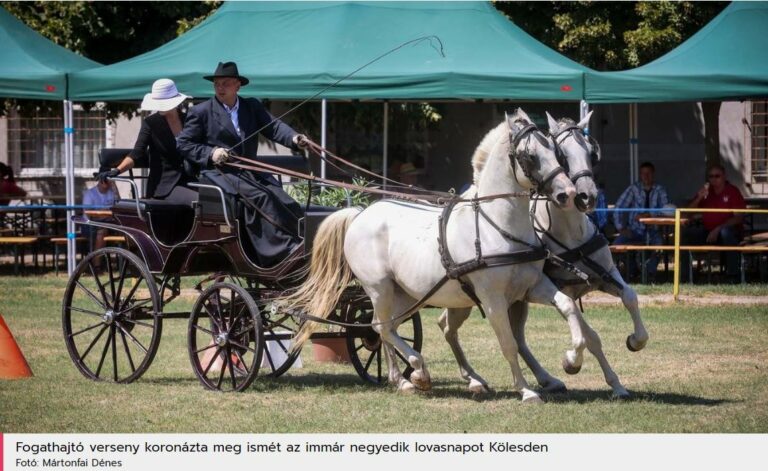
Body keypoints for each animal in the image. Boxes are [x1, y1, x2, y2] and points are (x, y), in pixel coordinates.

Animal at [284, 109, 592, 402]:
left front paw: (571, 361)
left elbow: (568, 307)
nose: (568, 193)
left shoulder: (531, 287)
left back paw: (405, 379)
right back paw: (416, 372)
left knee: (384, 328)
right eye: (530, 156)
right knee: (380, 327)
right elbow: (508, 343)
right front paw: (527, 391)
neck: (496, 225)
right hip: (379, 289)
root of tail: (360, 213)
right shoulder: (493, 299)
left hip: (407, 295)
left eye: (555, 150)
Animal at [438, 113, 648, 398]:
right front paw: (572, 362)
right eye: (562, 154)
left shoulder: (606, 275)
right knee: (448, 327)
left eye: (590, 151)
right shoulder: (563, 287)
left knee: (511, 337)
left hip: (512, 300)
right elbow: (590, 336)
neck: (572, 233)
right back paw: (472, 378)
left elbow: (630, 297)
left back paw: (544, 379)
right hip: (467, 299)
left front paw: (633, 348)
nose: (586, 196)